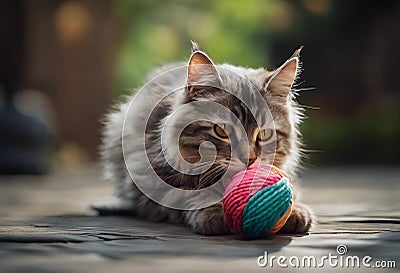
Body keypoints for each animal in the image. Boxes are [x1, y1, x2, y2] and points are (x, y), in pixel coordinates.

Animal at [95, 41, 314, 235]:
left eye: (265, 134)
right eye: (221, 131)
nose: (250, 159)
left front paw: (295, 210)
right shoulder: (146, 182)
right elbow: (190, 194)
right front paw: (212, 212)